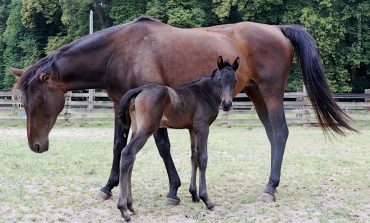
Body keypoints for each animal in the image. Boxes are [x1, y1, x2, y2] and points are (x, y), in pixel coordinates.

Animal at [116, 56, 240, 221]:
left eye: (235, 80)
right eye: (219, 80)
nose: (227, 104)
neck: (204, 94)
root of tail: (139, 90)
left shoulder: (192, 129)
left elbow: (194, 157)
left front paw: (194, 194)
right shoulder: (202, 127)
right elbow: (203, 159)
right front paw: (206, 199)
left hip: (136, 128)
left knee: (131, 157)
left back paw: (130, 206)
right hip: (147, 129)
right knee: (127, 153)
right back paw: (123, 209)